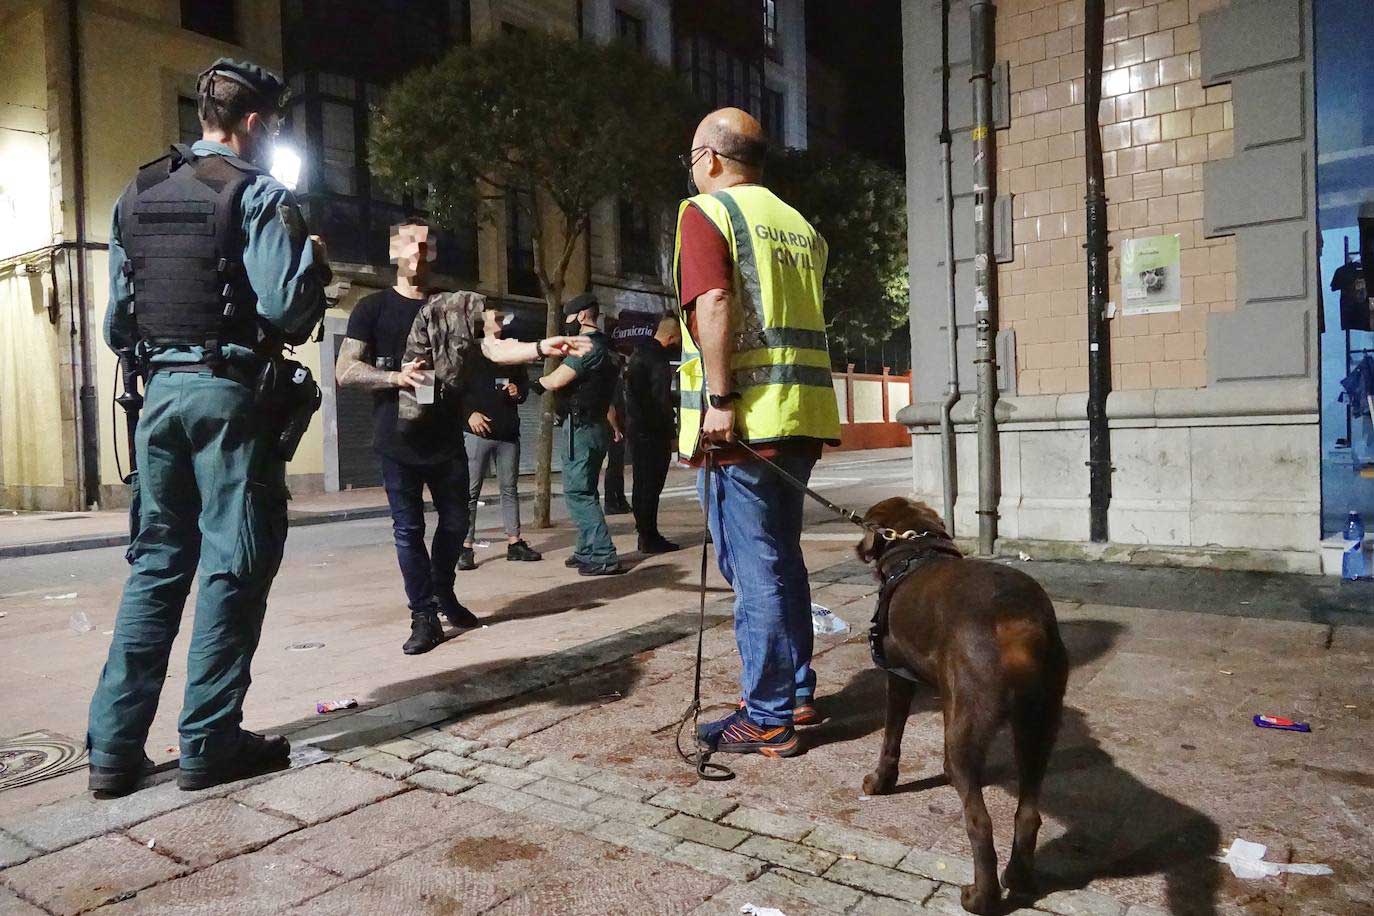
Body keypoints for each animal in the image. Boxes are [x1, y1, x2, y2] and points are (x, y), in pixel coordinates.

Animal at [857, 497, 1071, 911]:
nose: (859, 548)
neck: (915, 550)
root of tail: (1018, 622)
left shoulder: (898, 677)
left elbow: (891, 737)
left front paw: (880, 781)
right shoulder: (948, 691)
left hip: (973, 726)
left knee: (979, 823)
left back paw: (980, 897)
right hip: (1038, 726)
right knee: (1028, 814)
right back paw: (1018, 878)